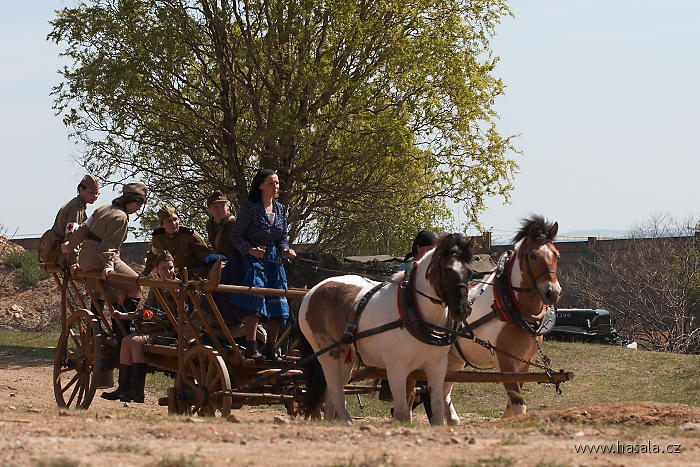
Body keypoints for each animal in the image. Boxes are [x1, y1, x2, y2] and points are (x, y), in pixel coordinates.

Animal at [298, 233, 474, 424]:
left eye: (469, 273)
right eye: (446, 270)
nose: (463, 310)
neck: (413, 311)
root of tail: (313, 291)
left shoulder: (437, 367)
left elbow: (437, 406)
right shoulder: (396, 369)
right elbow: (402, 412)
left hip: (344, 356)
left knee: (332, 390)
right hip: (327, 354)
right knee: (336, 390)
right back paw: (347, 422)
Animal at [442, 217, 564, 424]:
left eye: (556, 255)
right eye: (533, 256)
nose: (553, 292)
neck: (509, 306)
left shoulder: (524, 363)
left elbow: (512, 403)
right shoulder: (506, 361)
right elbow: (518, 405)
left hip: (454, 359)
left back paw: (451, 420)